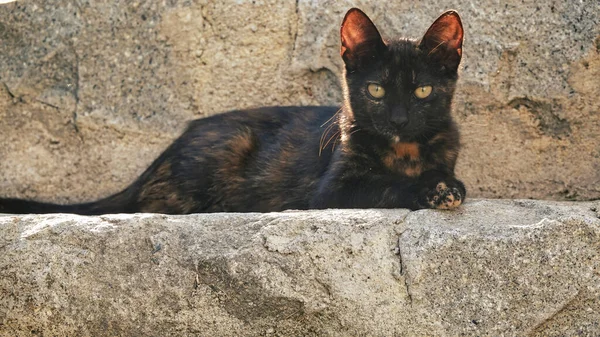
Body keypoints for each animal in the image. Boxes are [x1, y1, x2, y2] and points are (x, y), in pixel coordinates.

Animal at [0, 8, 468, 215]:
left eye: (423, 90)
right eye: (375, 90)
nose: (399, 120)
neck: (404, 151)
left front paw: (444, 183)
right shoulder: (332, 193)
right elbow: (385, 186)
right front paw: (433, 190)